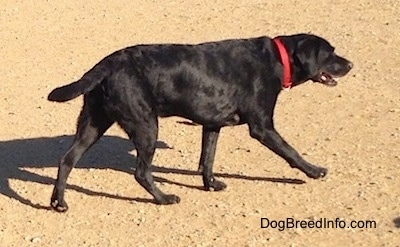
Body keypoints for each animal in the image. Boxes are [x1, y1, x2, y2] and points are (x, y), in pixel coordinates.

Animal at [47, 33, 354, 212]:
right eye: (330, 52)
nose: (351, 64)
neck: (277, 59)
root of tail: (107, 63)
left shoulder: (212, 124)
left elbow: (207, 159)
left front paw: (211, 184)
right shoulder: (262, 127)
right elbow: (291, 151)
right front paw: (313, 171)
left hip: (93, 123)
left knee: (67, 160)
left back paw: (59, 202)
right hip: (146, 125)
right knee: (141, 172)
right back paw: (163, 198)